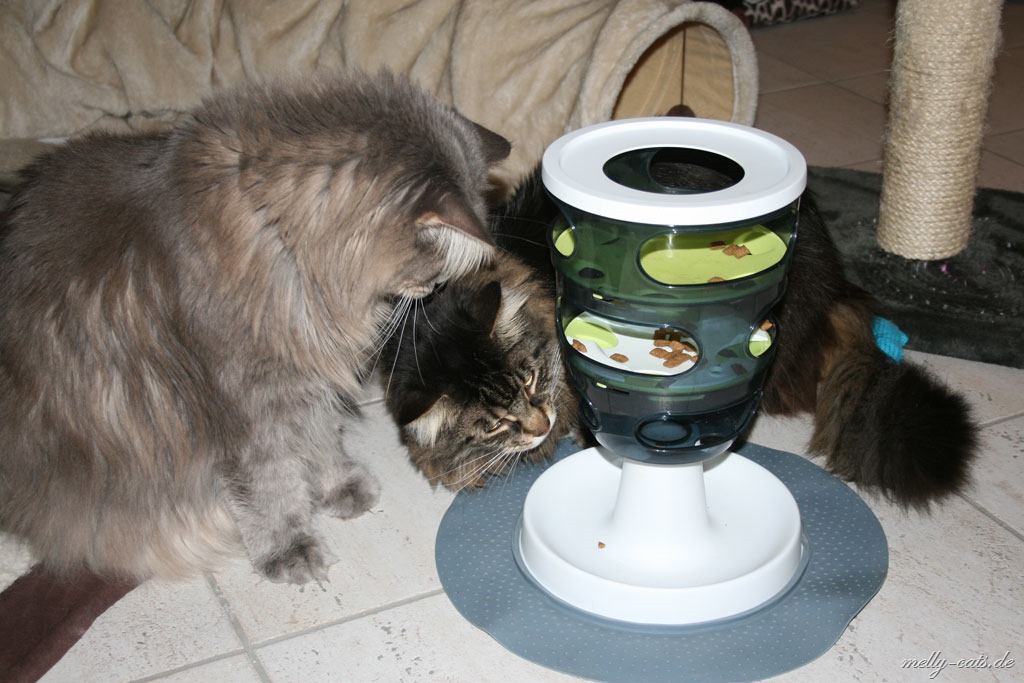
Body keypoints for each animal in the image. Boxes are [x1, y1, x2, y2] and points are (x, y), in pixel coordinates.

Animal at [0, 70, 511, 584]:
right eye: (434, 269)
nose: (432, 293)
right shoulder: (250, 408)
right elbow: (271, 487)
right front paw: (290, 549)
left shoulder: (307, 383)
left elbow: (320, 441)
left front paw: (338, 487)